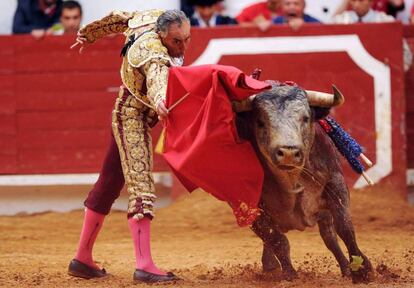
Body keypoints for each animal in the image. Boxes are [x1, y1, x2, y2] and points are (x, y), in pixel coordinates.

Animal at [236, 83, 376, 284]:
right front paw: (289, 274)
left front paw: (362, 270)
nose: (288, 152)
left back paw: (345, 269)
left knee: (330, 237)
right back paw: (271, 268)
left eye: (305, 118)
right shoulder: (247, 206)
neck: (290, 179)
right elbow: (277, 240)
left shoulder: (336, 183)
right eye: (260, 121)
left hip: (324, 215)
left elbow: (345, 227)